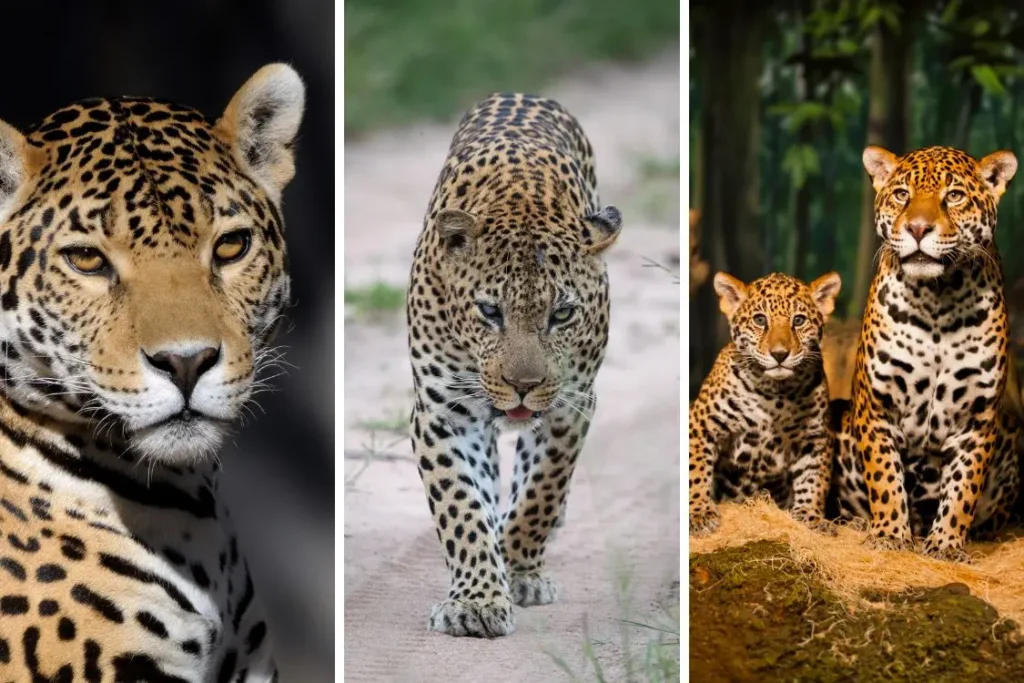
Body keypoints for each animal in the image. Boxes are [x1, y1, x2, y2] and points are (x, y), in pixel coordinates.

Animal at [405, 93, 622, 638]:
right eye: (489, 312)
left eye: (561, 314)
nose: (523, 386)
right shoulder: (442, 412)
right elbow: (460, 506)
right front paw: (476, 600)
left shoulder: (572, 404)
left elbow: (541, 490)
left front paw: (515, 565)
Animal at [689, 270, 841, 536]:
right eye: (760, 320)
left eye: (798, 321)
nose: (780, 354)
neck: (774, 393)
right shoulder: (702, 425)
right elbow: (695, 471)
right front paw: (699, 513)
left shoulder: (816, 437)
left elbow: (814, 479)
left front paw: (810, 515)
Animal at [833, 145, 1023, 562]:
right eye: (902, 194)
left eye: (954, 196)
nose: (918, 229)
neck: (937, 303)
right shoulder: (877, 406)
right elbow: (885, 477)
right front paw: (889, 535)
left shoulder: (978, 419)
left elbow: (963, 488)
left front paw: (947, 544)